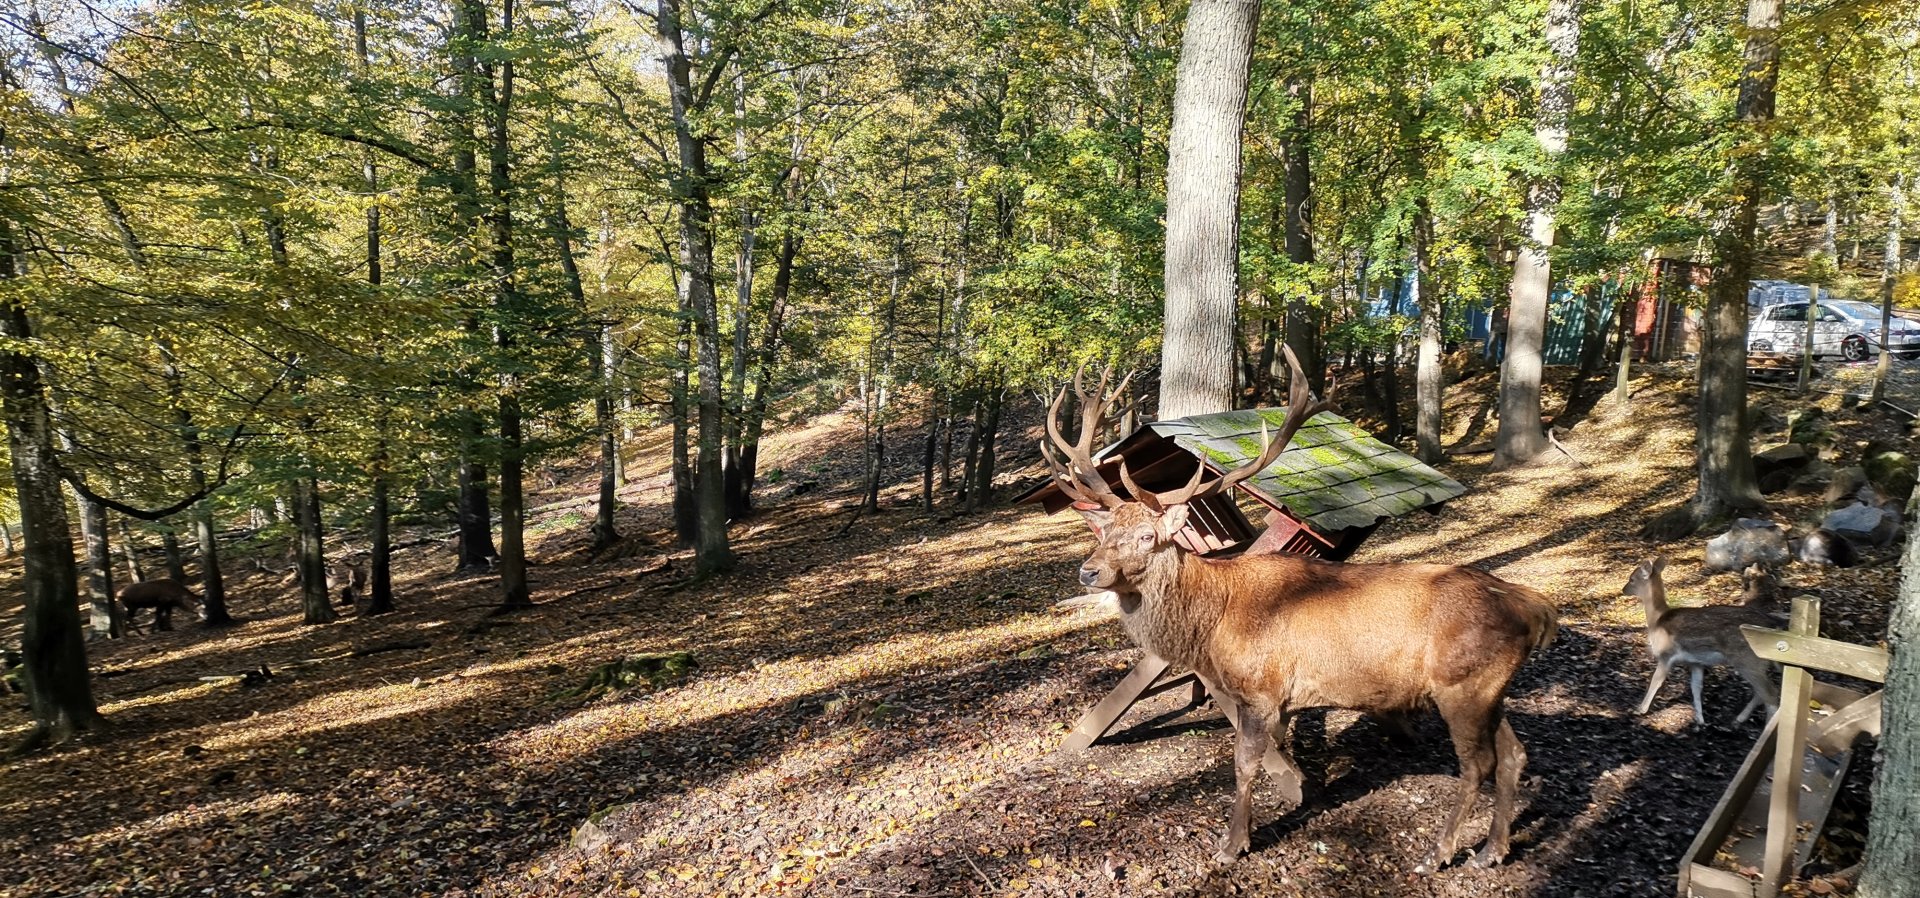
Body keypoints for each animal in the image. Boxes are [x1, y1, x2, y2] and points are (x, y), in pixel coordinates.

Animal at [1043, 348, 1559, 872]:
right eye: (1106, 532)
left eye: (1148, 536)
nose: (1089, 572)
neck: (1211, 626)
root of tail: (1535, 606)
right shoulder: (1283, 700)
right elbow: (1280, 752)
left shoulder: (1261, 688)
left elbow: (1245, 763)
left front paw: (1234, 843)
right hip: (1490, 690)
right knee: (1515, 755)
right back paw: (1492, 850)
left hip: (1463, 685)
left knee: (1479, 764)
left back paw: (1439, 852)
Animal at [1624, 556, 1780, 727]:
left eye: (1632, 579)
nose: (1623, 590)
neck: (1657, 621)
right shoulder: (1695, 662)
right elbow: (1696, 687)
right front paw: (1700, 720)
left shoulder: (1666, 654)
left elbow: (1655, 681)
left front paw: (1640, 709)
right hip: (1757, 663)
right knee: (1762, 693)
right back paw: (1739, 718)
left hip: (1748, 660)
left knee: (1772, 695)